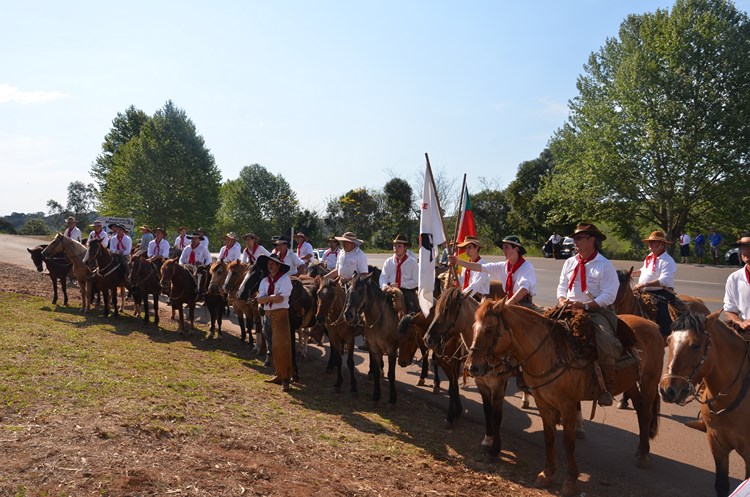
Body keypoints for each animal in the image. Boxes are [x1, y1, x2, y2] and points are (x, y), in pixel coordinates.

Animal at [470, 298, 664, 496]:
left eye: (489, 329)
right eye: (473, 327)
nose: (473, 367)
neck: (548, 353)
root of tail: (652, 324)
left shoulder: (568, 405)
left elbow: (568, 443)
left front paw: (570, 482)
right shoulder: (543, 403)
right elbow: (549, 438)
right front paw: (547, 474)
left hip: (650, 381)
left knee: (646, 413)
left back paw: (643, 456)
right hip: (630, 383)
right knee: (640, 408)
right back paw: (640, 449)